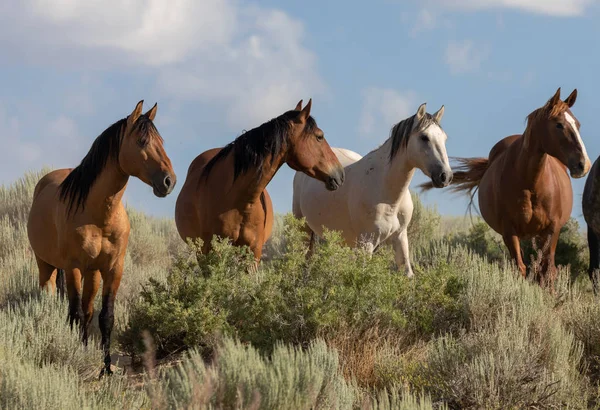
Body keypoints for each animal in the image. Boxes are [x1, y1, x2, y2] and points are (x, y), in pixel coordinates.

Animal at [27, 101, 176, 376]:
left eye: (161, 140)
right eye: (141, 141)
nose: (169, 181)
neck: (99, 215)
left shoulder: (113, 268)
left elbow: (105, 316)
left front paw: (106, 368)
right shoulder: (73, 267)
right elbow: (74, 313)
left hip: (93, 273)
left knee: (87, 311)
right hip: (46, 266)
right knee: (53, 299)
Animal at [292, 102, 452, 278]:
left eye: (444, 138)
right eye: (424, 137)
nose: (445, 176)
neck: (388, 197)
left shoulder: (400, 237)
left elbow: (408, 274)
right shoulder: (367, 242)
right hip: (304, 230)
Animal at [422, 89, 592, 288]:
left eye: (577, 124)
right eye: (559, 125)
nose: (583, 164)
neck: (530, 184)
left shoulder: (552, 230)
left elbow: (547, 272)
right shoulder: (509, 232)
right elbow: (520, 269)